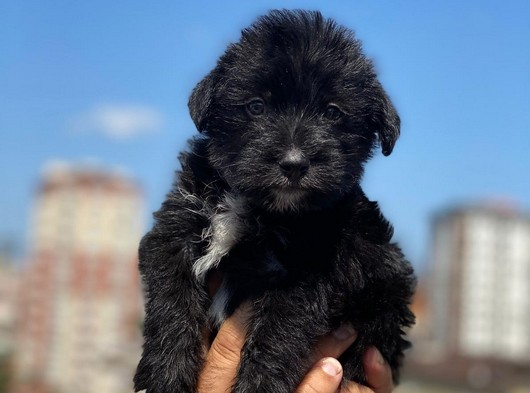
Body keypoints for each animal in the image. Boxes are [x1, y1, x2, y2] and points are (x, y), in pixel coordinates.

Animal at [134, 9, 414, 392]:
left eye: (333, 112)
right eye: (256, 106)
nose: (294, 163)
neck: (260, 207)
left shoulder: (305, 275)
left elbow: (277, 334)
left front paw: (258, 384)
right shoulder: (173, 233)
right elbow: (171, 302)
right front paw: (166, 374)